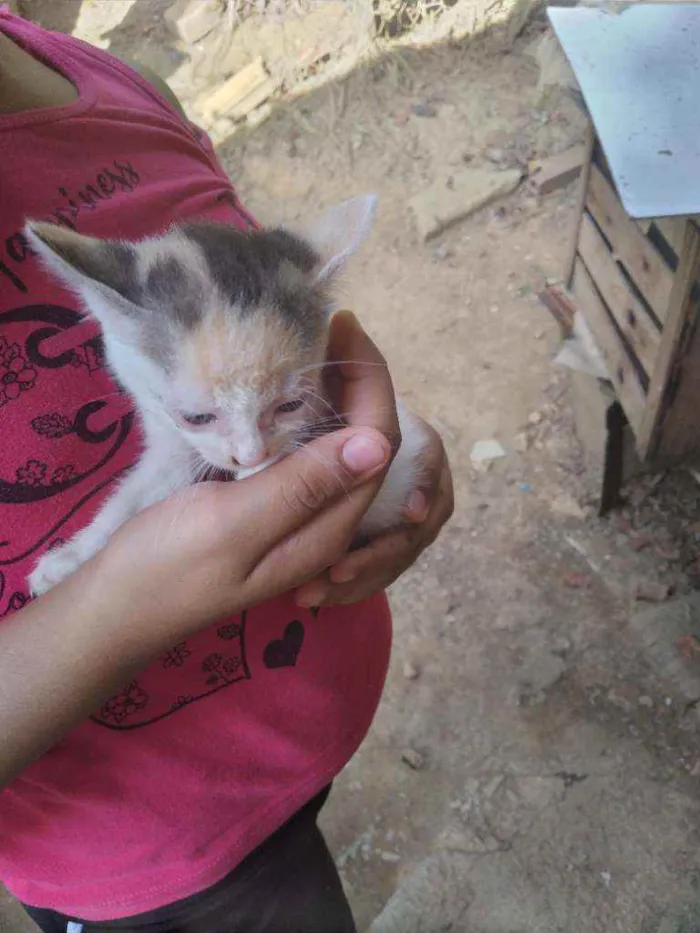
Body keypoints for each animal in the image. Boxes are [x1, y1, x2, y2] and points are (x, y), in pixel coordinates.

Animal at [26, 200, 426, 600]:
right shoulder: (171, 433)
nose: (251, 455)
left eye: (290, 405)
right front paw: (70, 559)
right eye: (196, 418)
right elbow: (138, 493)